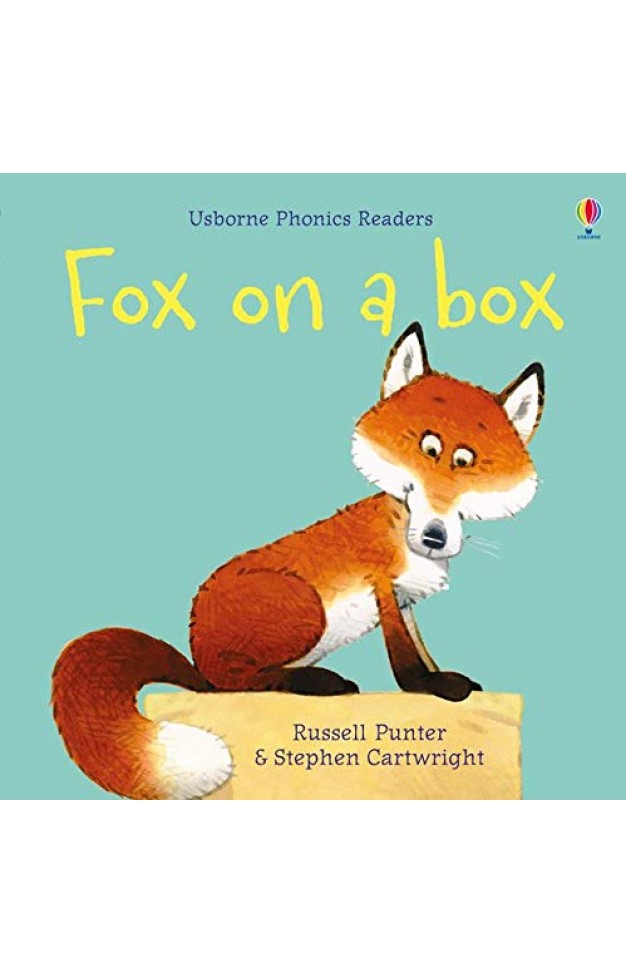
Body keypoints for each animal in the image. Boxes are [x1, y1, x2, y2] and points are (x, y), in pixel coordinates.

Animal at [52, 322, 544, 800]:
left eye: (466, 462)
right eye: (429, 449)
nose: (435, 537)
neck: (401, 530)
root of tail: (195, 656)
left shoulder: (404, 599)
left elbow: (421, 650)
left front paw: (440, 677)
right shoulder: (381, 583)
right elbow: (404, 660)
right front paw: (432, 689)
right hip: (304, 607)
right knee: (238, 682)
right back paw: (319, 681)